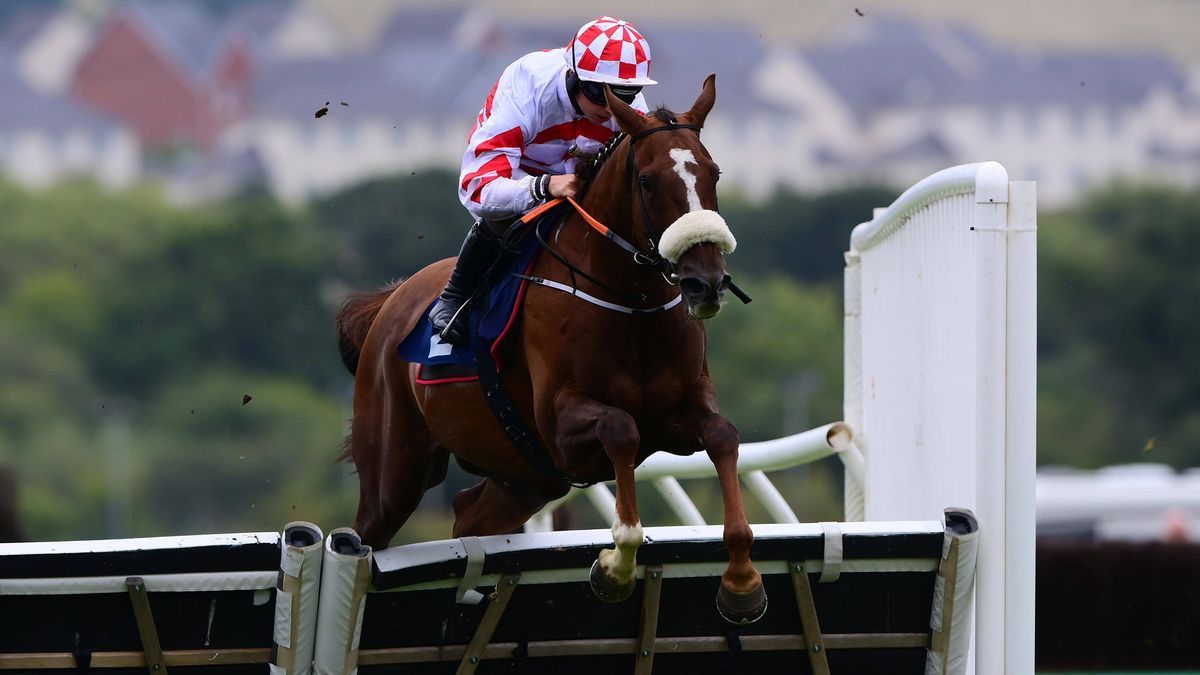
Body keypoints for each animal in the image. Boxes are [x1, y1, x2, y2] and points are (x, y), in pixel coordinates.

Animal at [336, 77, 768, 619]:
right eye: (648, 181)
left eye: (714, 173)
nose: (704, 283)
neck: (630, 303)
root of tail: (389, 304)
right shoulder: (561, 428)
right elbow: (621, 429)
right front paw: (616, 566)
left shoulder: (678, 411)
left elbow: (723, 435)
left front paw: (742, 579)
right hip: (395, 472)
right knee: (366, 531)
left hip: (527, 478)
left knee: (467, 515)